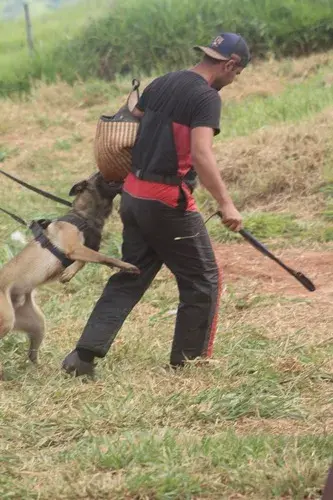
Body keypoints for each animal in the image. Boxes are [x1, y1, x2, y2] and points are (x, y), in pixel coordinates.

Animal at [0, 172, 137, 368]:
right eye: (100, 176)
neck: (84, 216)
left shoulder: (83, 249)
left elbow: (84, 262)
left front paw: (68, 273)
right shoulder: (74, 248)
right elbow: (103, 257)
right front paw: (126, 266)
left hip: (37, 323)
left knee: (32, 353)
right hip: (7, 320)